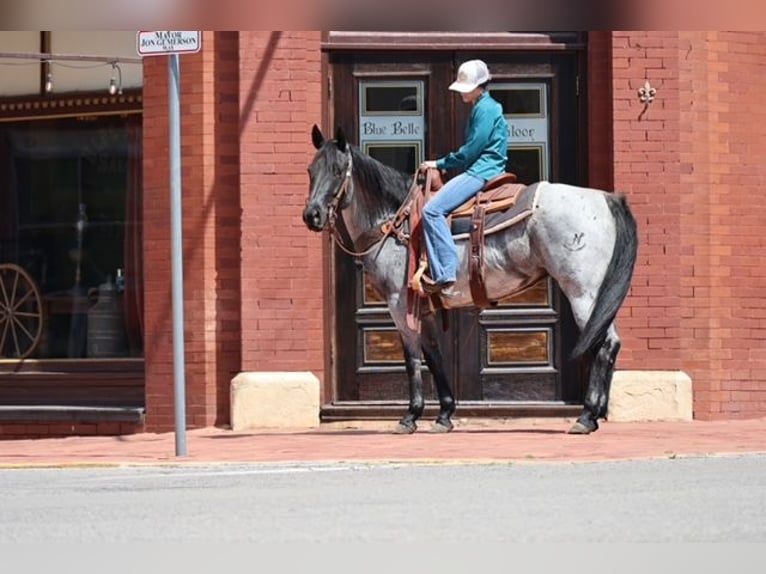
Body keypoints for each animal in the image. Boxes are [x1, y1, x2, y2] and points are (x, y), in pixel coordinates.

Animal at [303, 125, 638, 435]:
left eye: (337, 171)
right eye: (310, 171)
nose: (312, 215)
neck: (394, 222)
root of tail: (605, 197)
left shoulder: (399, 305)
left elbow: (412, 359)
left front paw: (410, 417)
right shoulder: (424, 308)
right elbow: (434, 357)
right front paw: (444, 415)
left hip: (583, 292)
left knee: (605, 344)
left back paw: (586, 416)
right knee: (610, 344)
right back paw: (596, 413)